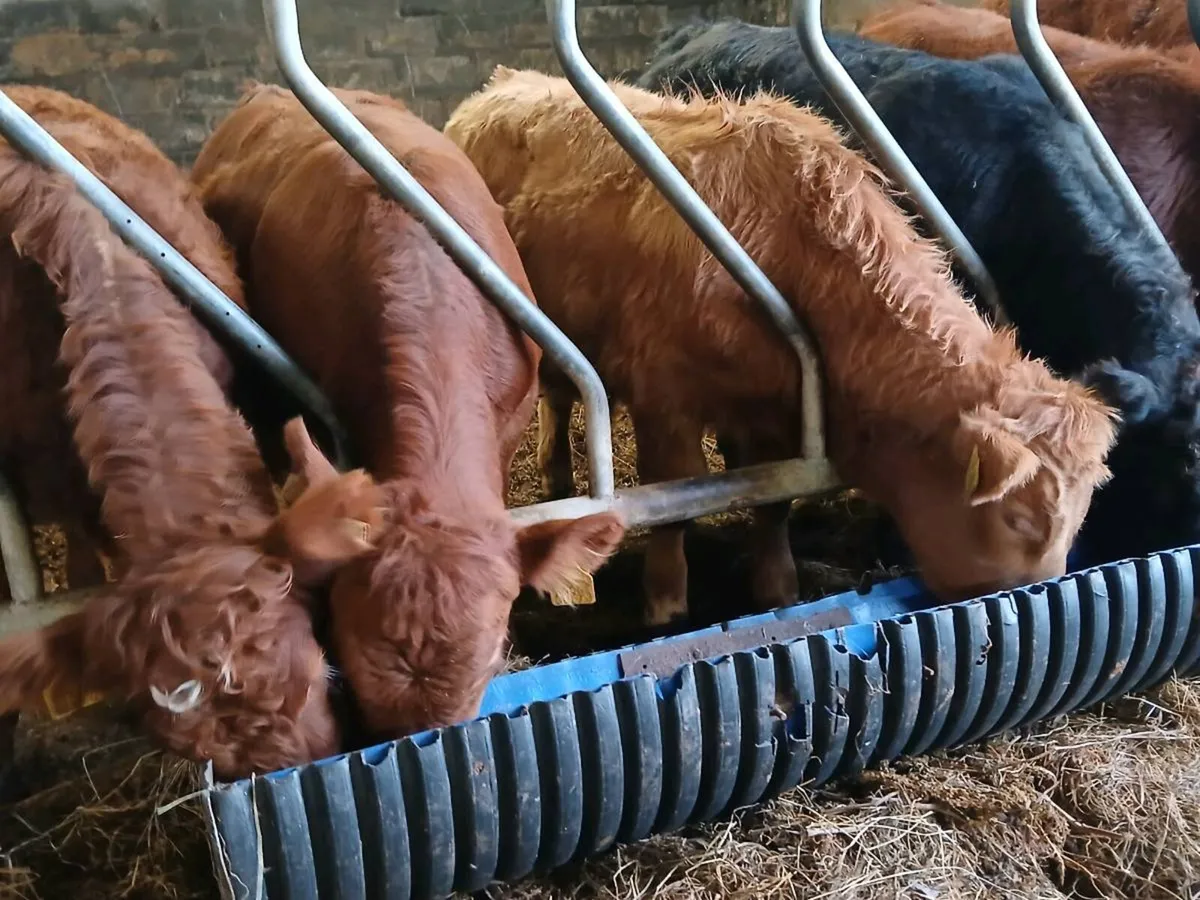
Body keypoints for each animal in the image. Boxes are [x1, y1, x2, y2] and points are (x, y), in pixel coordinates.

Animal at [444, 66, 1117, 626]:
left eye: (1081, 516)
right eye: (1018, 518)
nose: (1038, 596)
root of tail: (500, 86)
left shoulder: (777, 415)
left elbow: (772, 503)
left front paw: (778, 588)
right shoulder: (666, 397)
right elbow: (675, 499)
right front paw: (665, 603)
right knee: (557, 399)